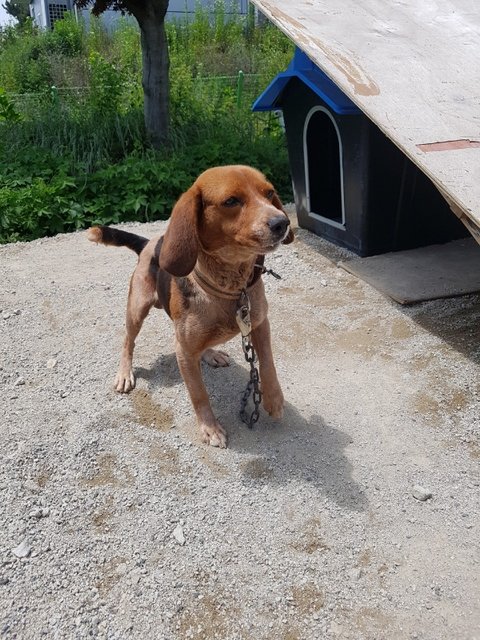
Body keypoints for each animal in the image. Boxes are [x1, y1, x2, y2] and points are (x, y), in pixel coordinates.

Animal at [87, 165, 293, 448]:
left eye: (270, 192)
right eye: (231, 201)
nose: (282, 223)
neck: (230, 287)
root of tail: (148, 243)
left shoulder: (260, 324)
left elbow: (268, 364)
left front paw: (274, 399)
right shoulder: (183, 351)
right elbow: (199, 394)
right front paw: (210, 427)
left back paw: (210, 354)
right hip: (136, 309)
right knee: (128, 342)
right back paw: (125, 372)